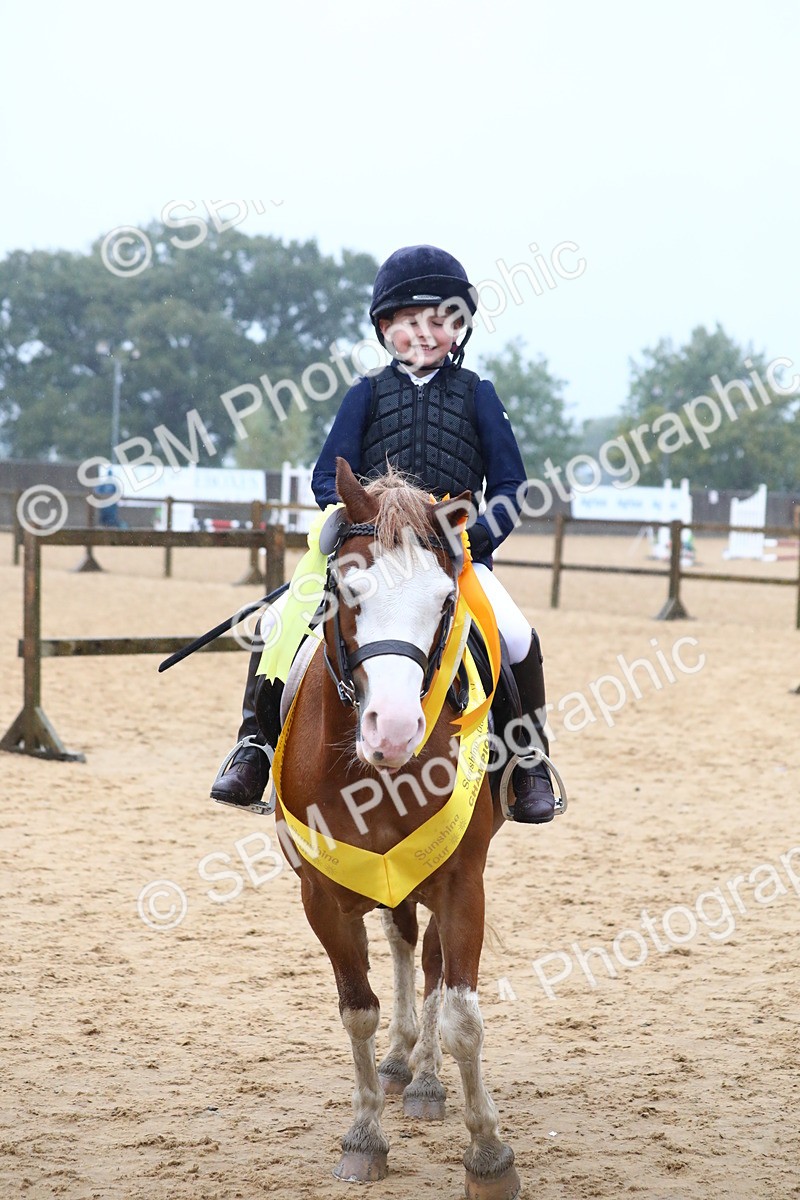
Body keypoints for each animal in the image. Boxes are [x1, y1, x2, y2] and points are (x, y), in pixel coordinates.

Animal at [267, 458, 521, 1200]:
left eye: (443, 599)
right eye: (347, 590)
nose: (397, 730)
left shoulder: (462, 879)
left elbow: (462, 1014)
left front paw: (488, 1155)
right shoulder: (321, 895)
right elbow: (358, 1008)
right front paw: (363, 1137)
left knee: (429, 960)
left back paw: (427, 1080)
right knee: (405, 944)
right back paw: (402, 1062)